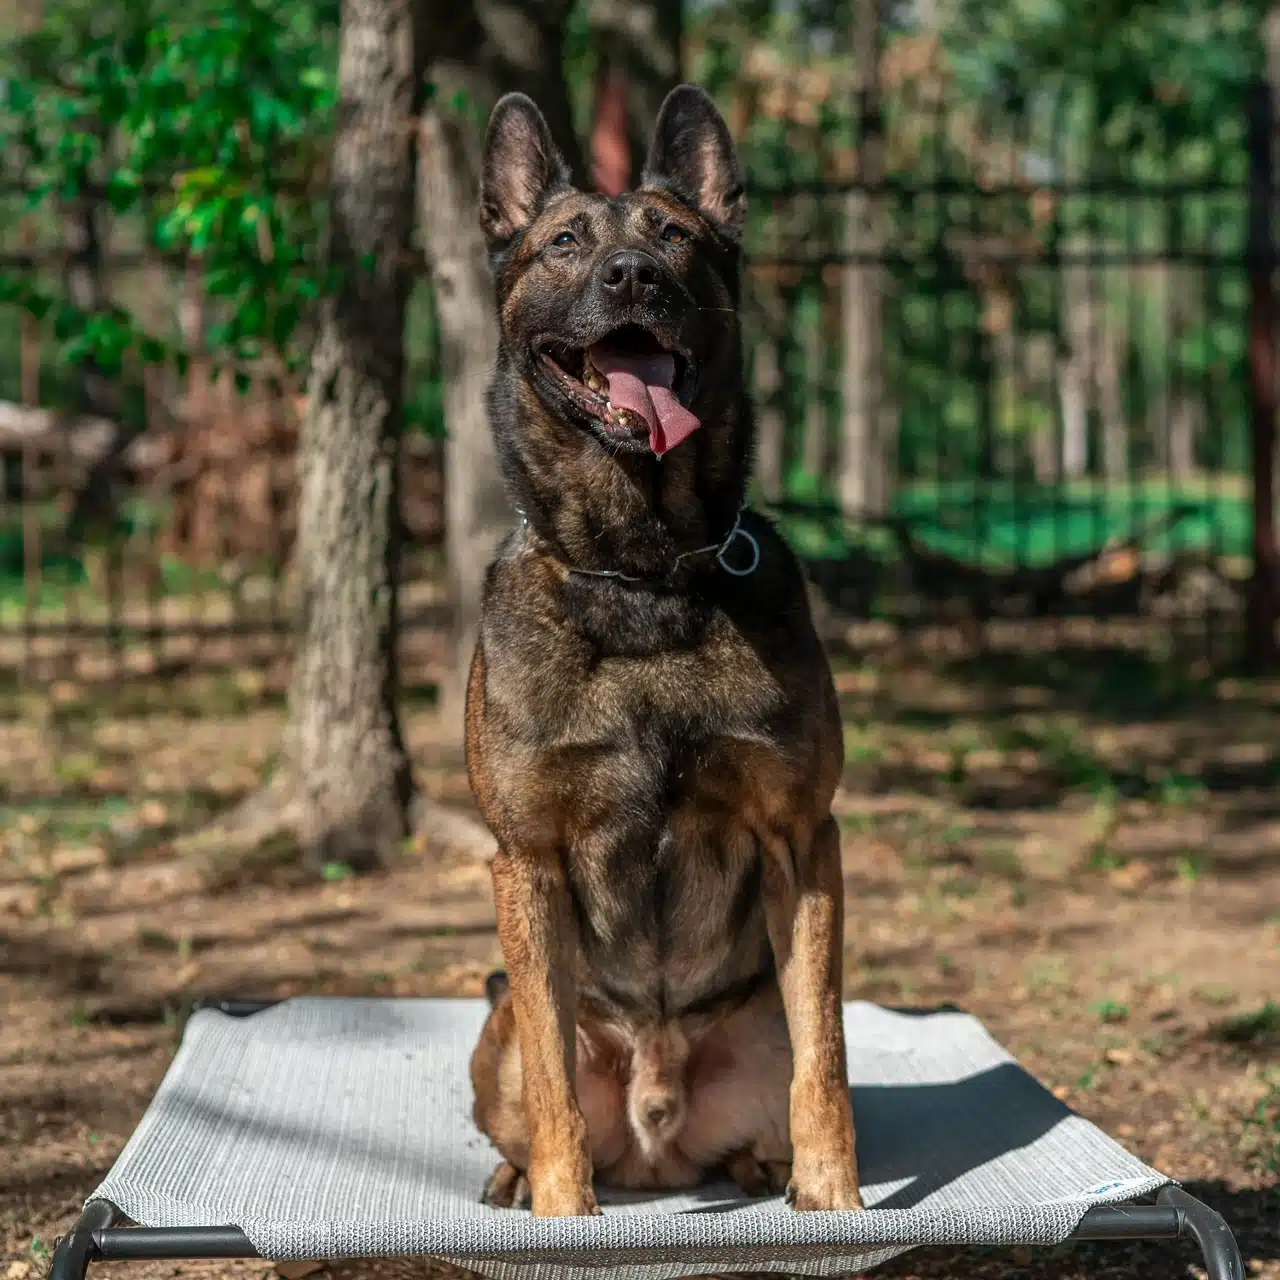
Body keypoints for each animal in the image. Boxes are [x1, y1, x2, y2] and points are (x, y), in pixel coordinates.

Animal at [465, 85, 865, 1213]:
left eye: (675, 237)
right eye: (563, 242)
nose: (631, 275)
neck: (641, 570)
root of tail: (656, 1136)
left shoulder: (801, 838)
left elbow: (827, 1057)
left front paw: (834, 1194)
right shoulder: (527, 862)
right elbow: (555, 1072)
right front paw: (563, 1210)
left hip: (757, 1020)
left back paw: (765, 1165)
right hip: (493, 1037)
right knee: (529, 1081)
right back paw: (520, 1180)